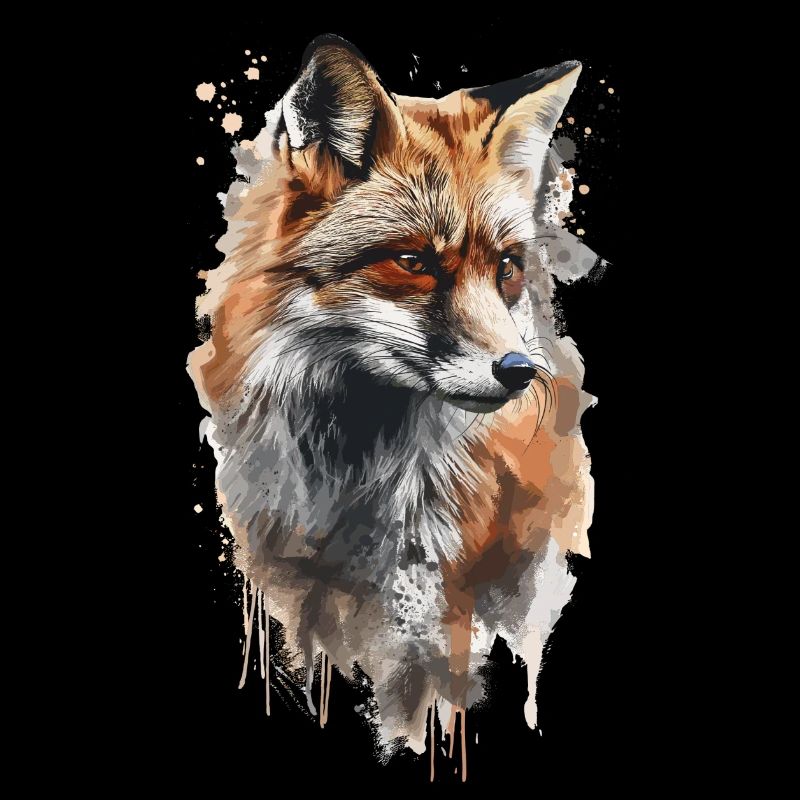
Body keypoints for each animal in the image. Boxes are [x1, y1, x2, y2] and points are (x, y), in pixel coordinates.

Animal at [189, 34, 599, 758]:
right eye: (414, 262)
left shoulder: (436, 615)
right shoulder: (293, 592)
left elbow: (423, 704)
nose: (521, 371)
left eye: (506, 268)